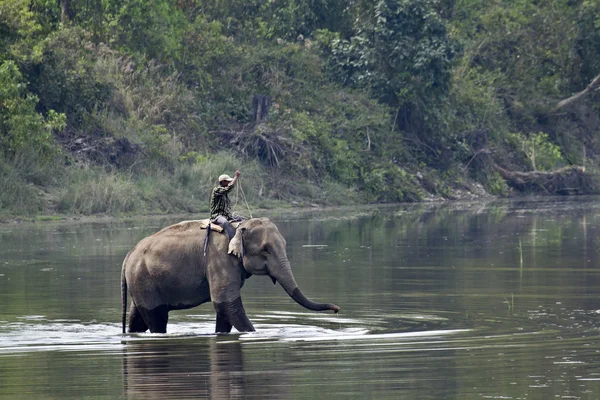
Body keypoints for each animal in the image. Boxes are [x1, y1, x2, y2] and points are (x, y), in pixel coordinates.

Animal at [119, 217, 340, 332]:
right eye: (266, 250)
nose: (337, 309)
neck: (238, 226)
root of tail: (127, 256)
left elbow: (224, 309)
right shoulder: (219, 260)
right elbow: (226, 304)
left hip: (141, 283)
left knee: (137, 318)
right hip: (144, 280)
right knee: (157, 317)